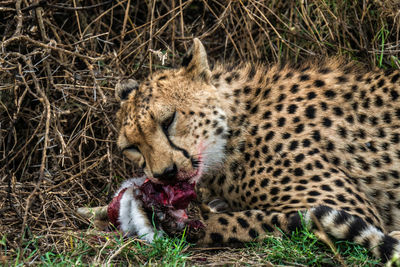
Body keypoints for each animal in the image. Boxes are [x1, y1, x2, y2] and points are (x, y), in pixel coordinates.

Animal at [111, 38, 400, 262]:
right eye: (132, 147)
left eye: (168, 119)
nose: (165, 174)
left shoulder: (350, 207)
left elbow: (262, 219)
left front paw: (182, 222)